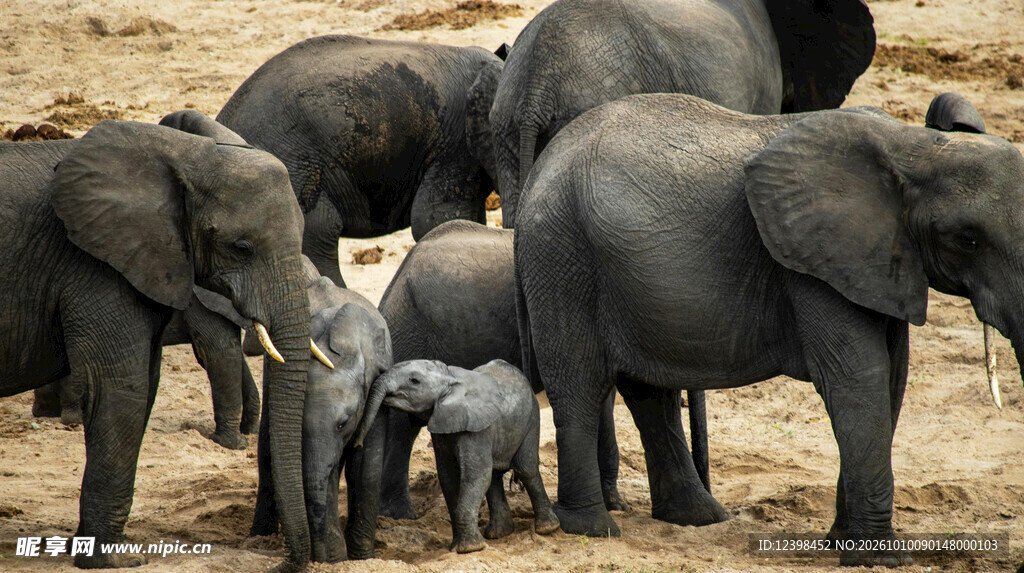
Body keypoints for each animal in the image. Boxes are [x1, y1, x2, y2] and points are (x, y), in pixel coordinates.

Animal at [0, 119, 320, 570]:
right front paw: (112, 560)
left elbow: (146, 384)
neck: (186, 154)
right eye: (241, 248)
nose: (279, 560)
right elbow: (122, 390)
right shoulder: (96, 266)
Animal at [247, 254, 392, 563]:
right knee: (266, 449)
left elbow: (367, 462)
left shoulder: (378, 382)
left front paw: (362, 557)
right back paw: (257, 539)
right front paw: (337, 558)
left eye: (343, 423)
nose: (318, 558)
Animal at [354, 359, 560, 553]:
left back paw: (547, 529)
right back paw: (498, 534)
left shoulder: (476, 428)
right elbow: (449, 477)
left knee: (525, 468)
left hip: (531, 418)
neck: (449, 377)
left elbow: (474, 476)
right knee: (493, 477)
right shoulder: (441, 428)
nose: (358, 443)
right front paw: (456, 547)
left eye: (414, 381)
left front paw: (470, 549)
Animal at [512, 92, 1024, 566]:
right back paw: (592, 529)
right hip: (562, 256)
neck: (916, 146)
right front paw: (880, 559)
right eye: (968, 240)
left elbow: (891, 381)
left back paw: (698, 518)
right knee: (580, 385)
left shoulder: (878, 262)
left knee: (649, 394)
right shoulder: (812, 264)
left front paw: (841, 543)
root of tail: (538, 170)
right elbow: (857, 380)